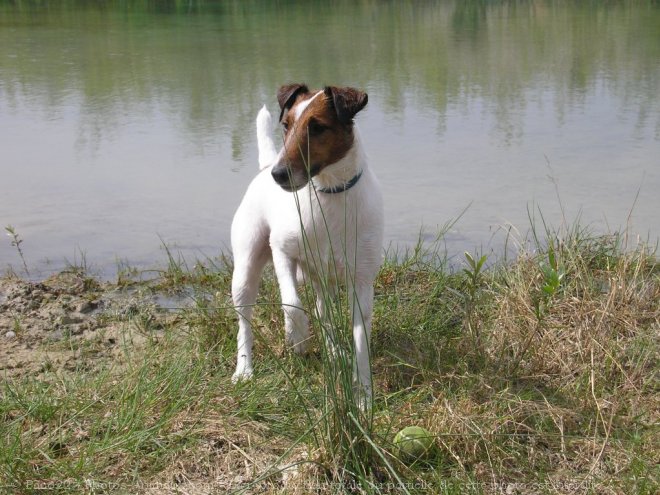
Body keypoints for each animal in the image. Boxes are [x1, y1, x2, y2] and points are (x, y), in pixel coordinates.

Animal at [229, 84, 384, 404]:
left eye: (317, 128)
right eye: (286, 126)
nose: (278, 175)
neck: (329, 193)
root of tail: (265, 165)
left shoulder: (362, 282)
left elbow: (361, 341)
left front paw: (363, 396)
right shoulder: (282, 252)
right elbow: (292, 304)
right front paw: (297, 338)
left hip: (325, 283)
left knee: (324, 316)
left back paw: (335, 351)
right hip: (246, 271)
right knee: (244, 322)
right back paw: (244, 368)